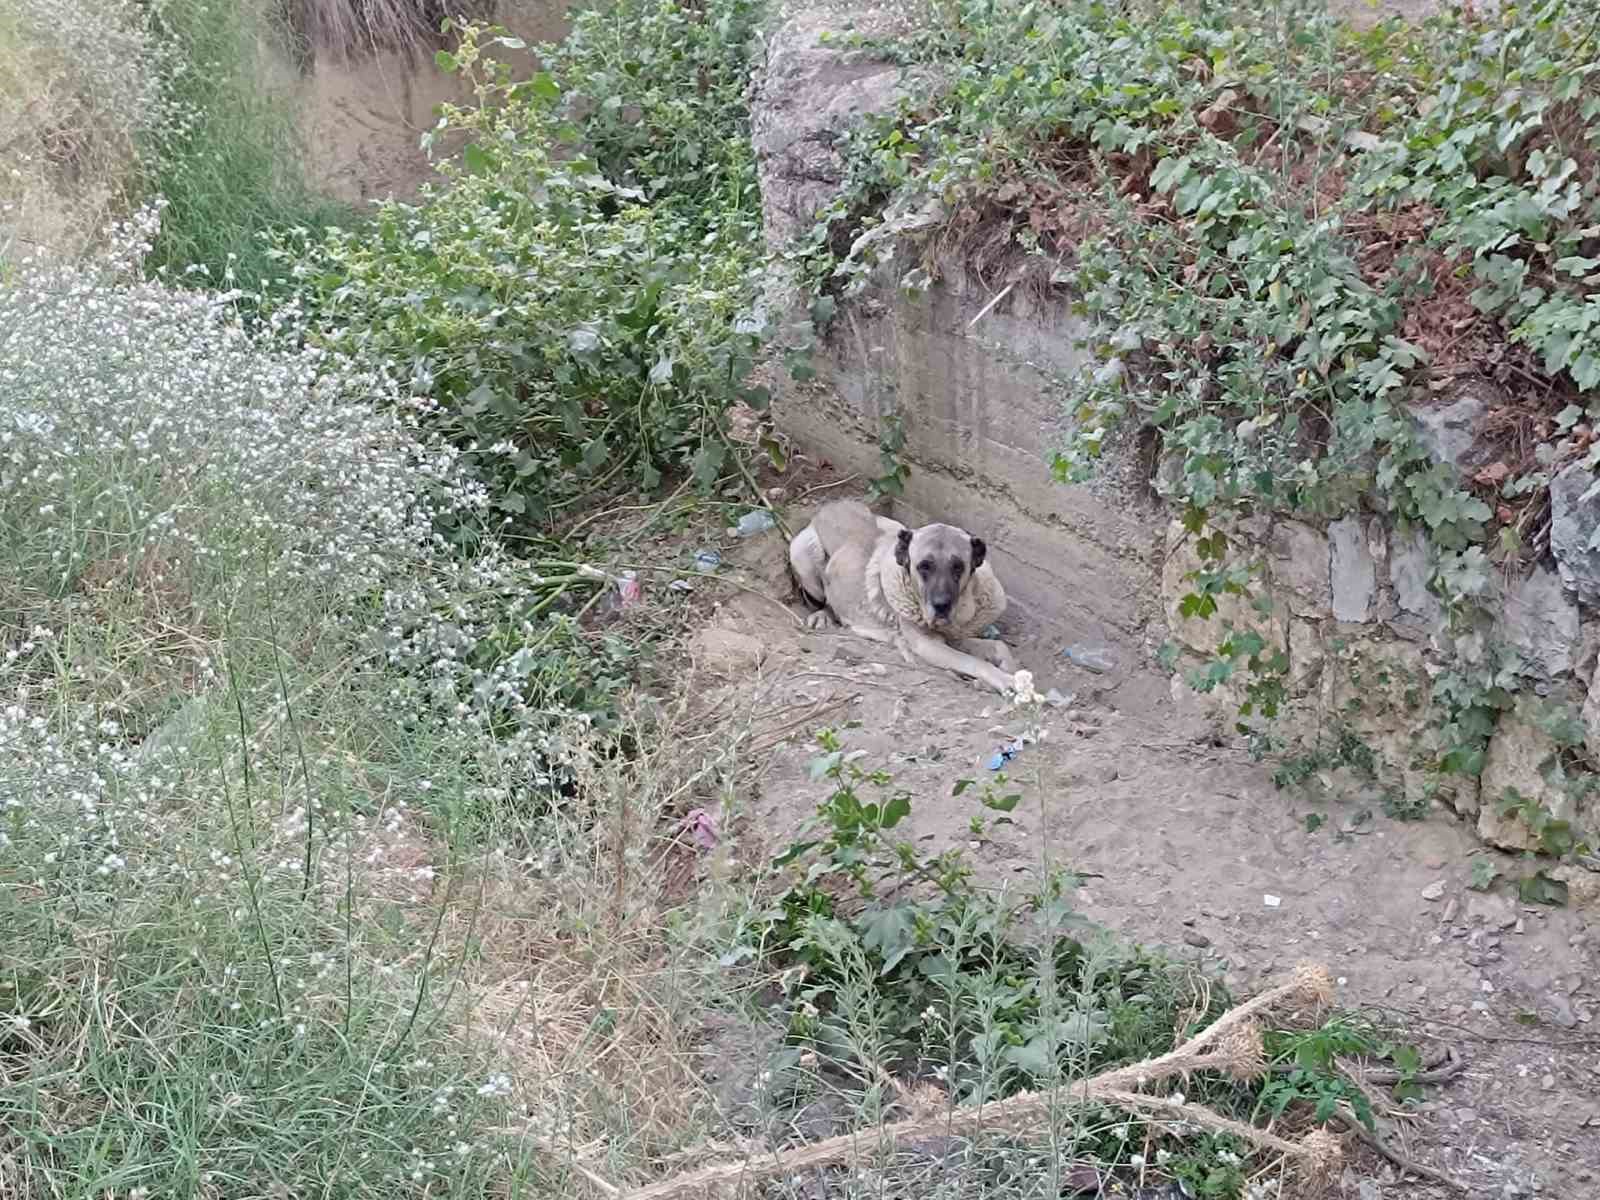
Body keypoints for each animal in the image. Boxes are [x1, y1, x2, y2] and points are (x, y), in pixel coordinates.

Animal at [790, 499, 1024, 694]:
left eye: (958, 567)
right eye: (924, 567)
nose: (941, 606)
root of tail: (829, 506)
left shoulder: (955, 636)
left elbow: (999, 646)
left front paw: (1010, 670)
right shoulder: (929, 645)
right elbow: (975, 662)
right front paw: (1004, 680)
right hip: (803, 558)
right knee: (825, 598)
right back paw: (823, 615)